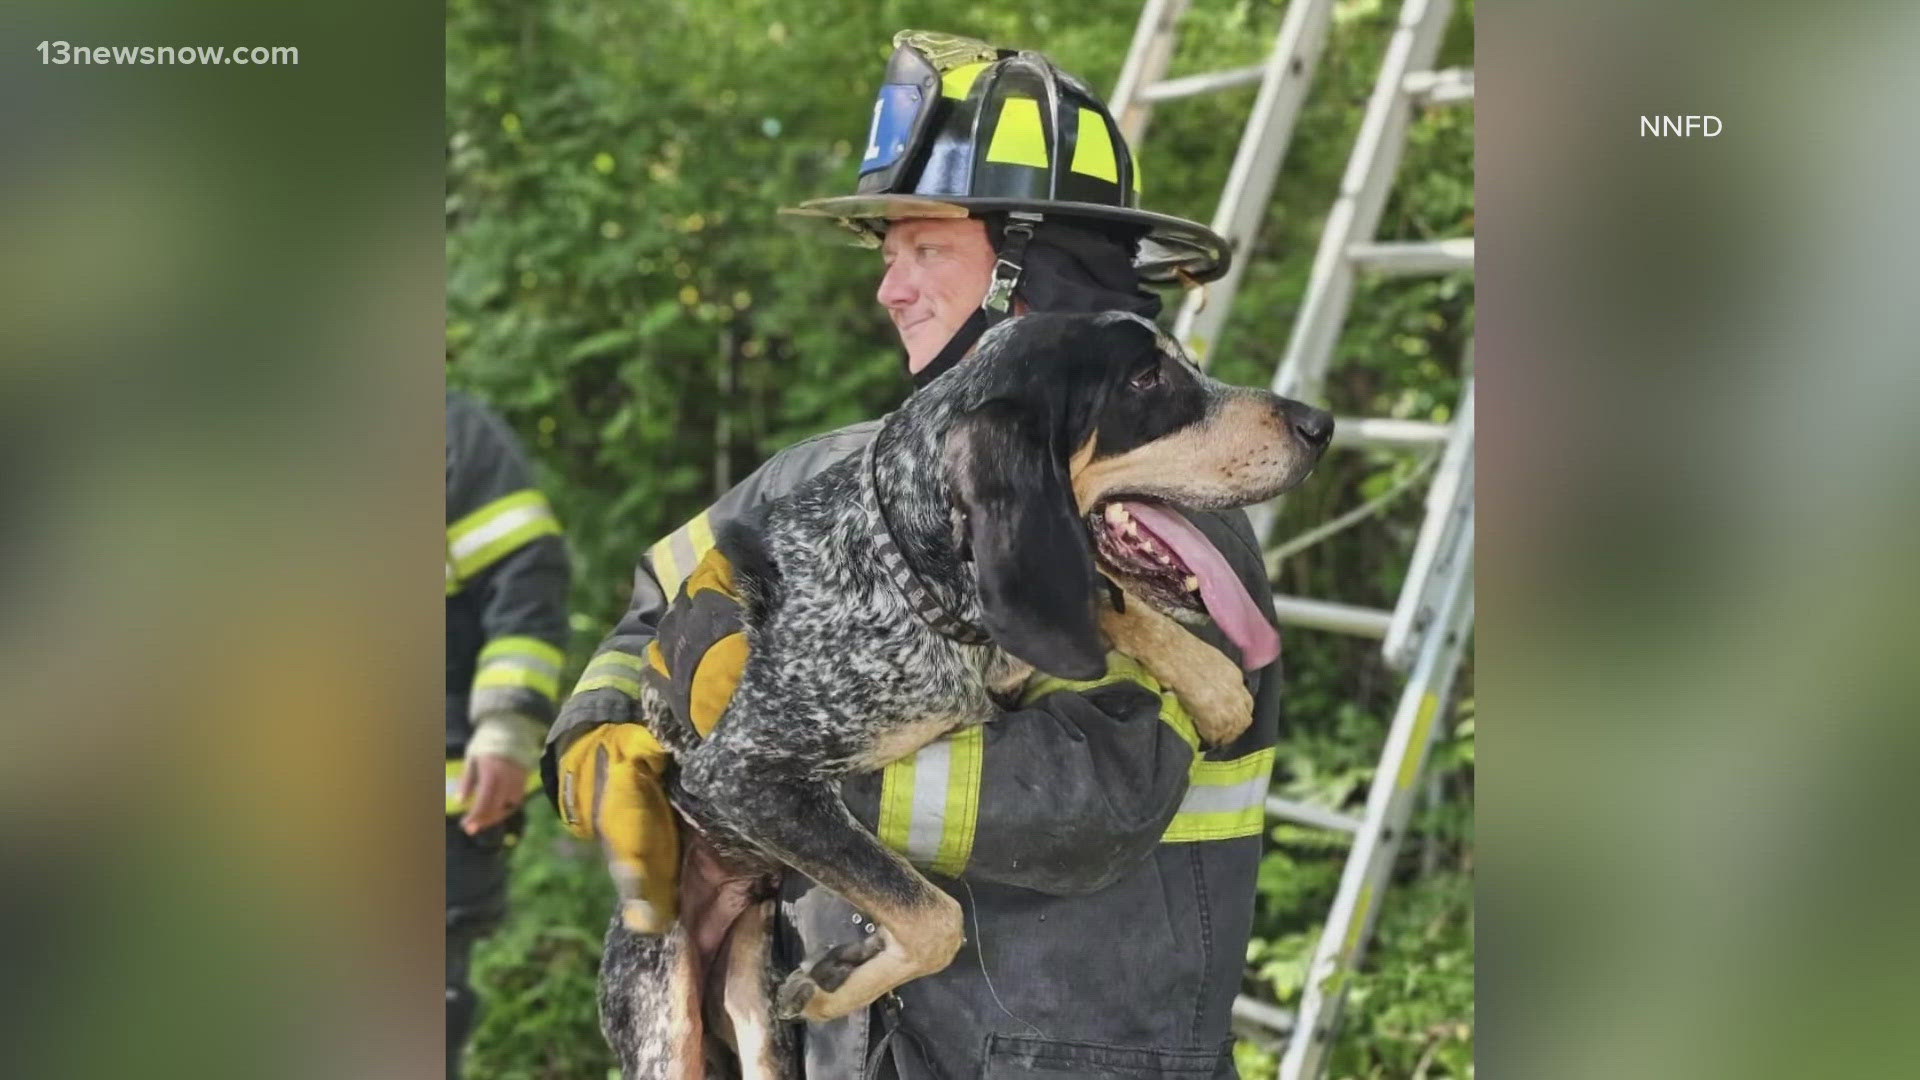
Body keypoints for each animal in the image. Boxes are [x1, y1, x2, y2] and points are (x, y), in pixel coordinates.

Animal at [599, 307, 1336, 1068]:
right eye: (1145, 378)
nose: (1321, 424)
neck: (905, 573)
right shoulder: (744, 774)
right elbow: (934, 915)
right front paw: (838, 985)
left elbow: (1099, 606)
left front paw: (1211, 679)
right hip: (668, 1022)